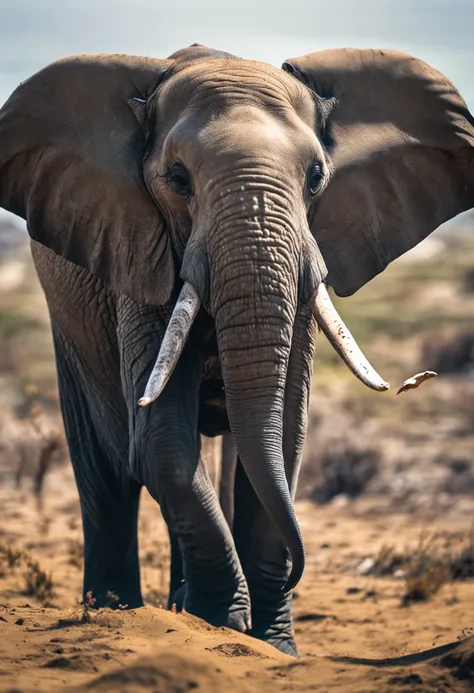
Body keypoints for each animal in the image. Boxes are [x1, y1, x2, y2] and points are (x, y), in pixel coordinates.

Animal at [0, 43, 472, 656]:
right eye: (178, 179)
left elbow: (282, 437)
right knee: (106, 461)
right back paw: (112, 610)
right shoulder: (140, 251)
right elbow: (162, 443)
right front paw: (223, 621)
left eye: (316, 178)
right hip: (70, 313)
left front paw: (272, 645)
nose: (299, 572)